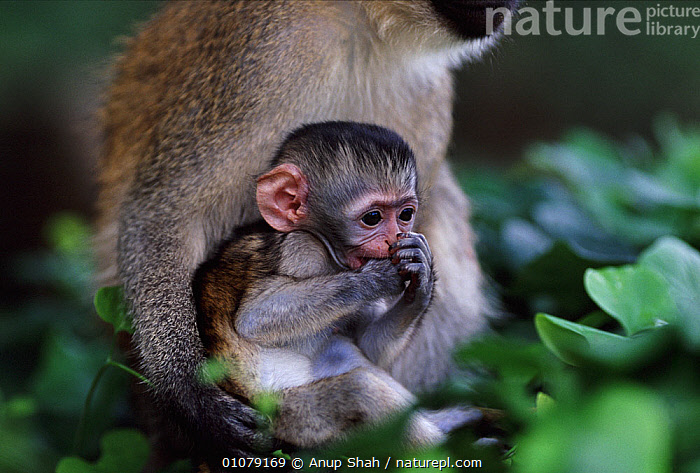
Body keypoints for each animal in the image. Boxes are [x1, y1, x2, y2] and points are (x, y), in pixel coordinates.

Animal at [195, 121, 448, 448]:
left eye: (405, 214)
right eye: (372, 218)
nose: (392, 238)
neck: (331, 254)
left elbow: (370, 346)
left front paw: (422, 277)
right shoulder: (302, 249)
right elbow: (253, 319)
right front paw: (379, 276)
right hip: (293, 420)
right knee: (360, 389)